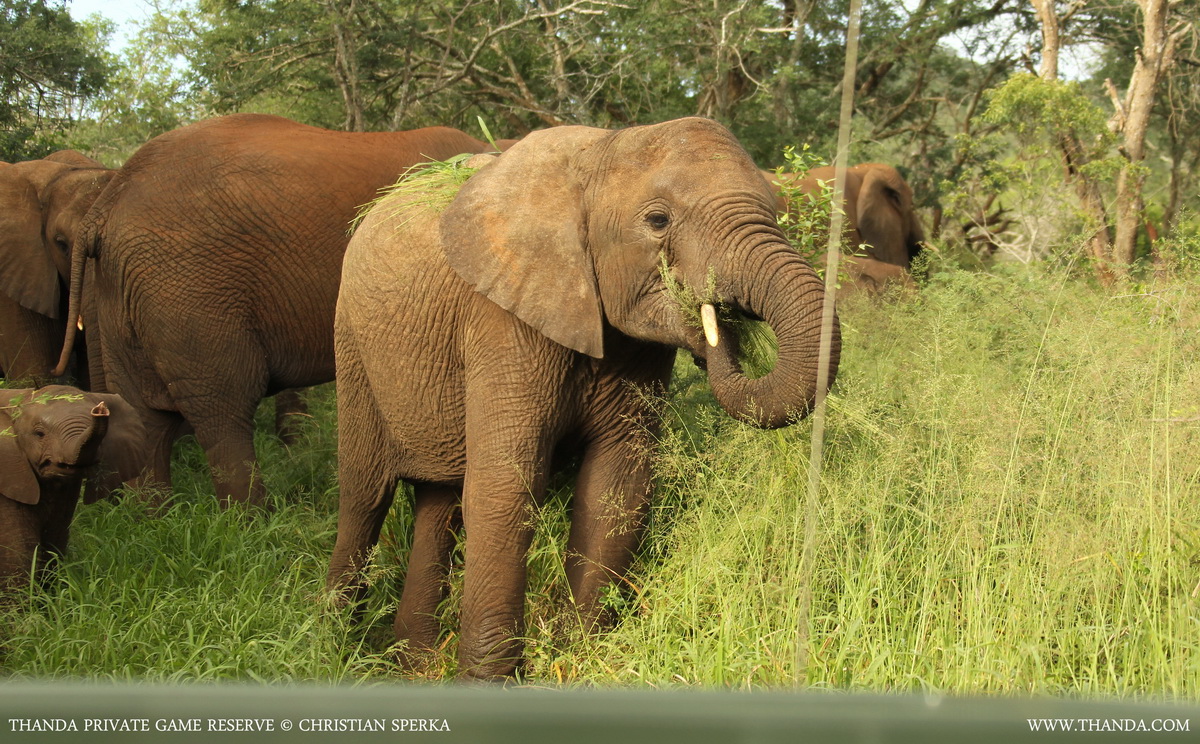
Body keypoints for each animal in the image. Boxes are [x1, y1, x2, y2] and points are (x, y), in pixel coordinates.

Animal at [55, 113, 492, 508]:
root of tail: (108, 203)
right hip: (189, 289)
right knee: (224, 408)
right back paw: (250, 523)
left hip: (125, 290)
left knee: (146, 417)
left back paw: (157, 520)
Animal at [327, 117, 840, 679]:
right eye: (658, 221)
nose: (717, 330)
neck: (598, 154)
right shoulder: (502, 317)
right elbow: (507, 487)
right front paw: (489, 681)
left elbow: (617, 485)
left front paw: (579, 657)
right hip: (352, 347)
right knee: (365, 494)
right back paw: (334, 641)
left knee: (439, 503)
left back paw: (413, 662)